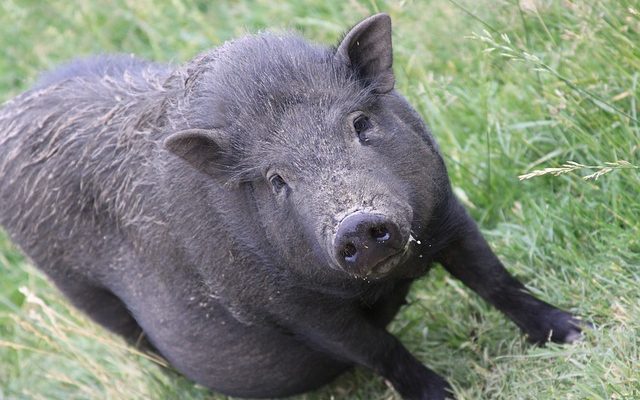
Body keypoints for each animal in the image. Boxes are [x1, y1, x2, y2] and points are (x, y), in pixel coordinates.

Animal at [0, 13, 584, 400]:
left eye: (360, 124)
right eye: (276, 178)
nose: (357, 222)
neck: (387, 280)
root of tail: (14, 109)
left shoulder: (446, 212)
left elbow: (494, 279)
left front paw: (574, 332)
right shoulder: (292, 308)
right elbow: (378, 348)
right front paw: (443, 396)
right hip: (88, 299)